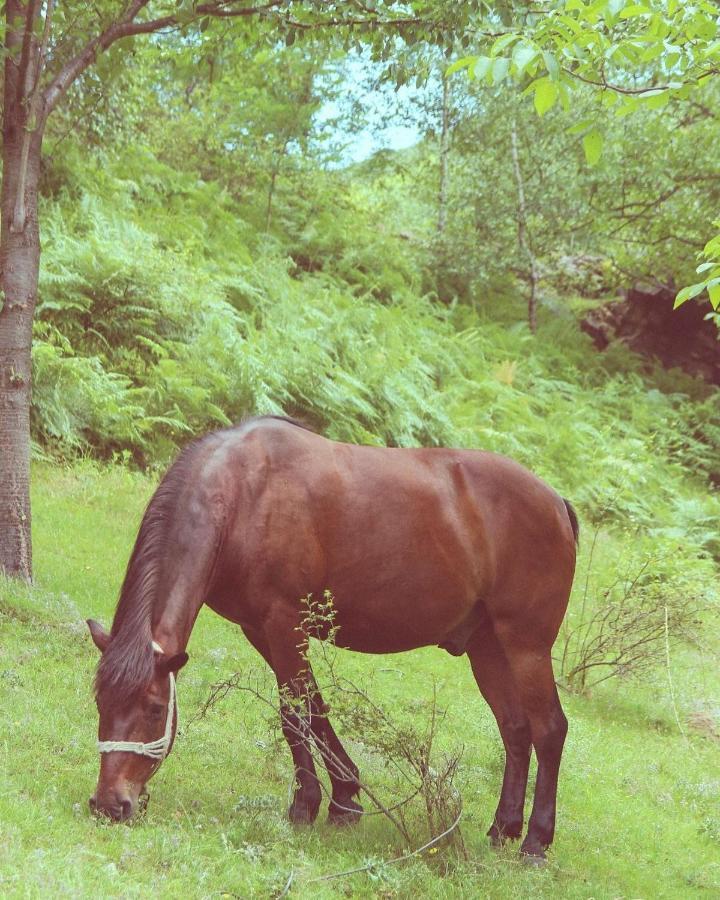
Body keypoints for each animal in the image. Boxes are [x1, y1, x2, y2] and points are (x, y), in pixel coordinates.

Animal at [87, 414, 576, 856]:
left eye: (154, 709)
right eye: (100, 703)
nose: (110, 804)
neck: (246, 493)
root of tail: (557, 502)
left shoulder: (284, 623)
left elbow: (294, 714)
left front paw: (306, 805)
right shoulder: (261, 630)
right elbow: (315, 708)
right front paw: (345, 799)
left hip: (527, 647)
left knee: (549, 729)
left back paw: (535, 840)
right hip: (488, 648)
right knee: (516, 730)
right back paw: (503, 828)